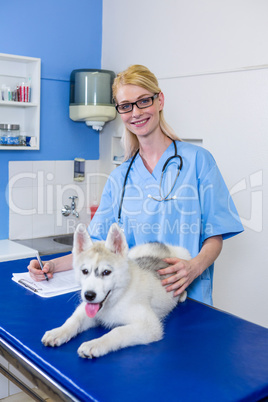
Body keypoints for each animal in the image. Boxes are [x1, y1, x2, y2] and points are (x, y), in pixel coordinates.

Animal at [42, 223, 191, 358]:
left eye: (106, 272)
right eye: (84, 271)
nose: (89, 295)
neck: (118, 297)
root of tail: (161, 246)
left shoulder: (150, 326)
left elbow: (118, 331)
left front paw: (95, 344)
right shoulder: (88, 311)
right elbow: (74, 320)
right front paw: (58, 332)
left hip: (184, 255)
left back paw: (182, 295)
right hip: (133, 252)